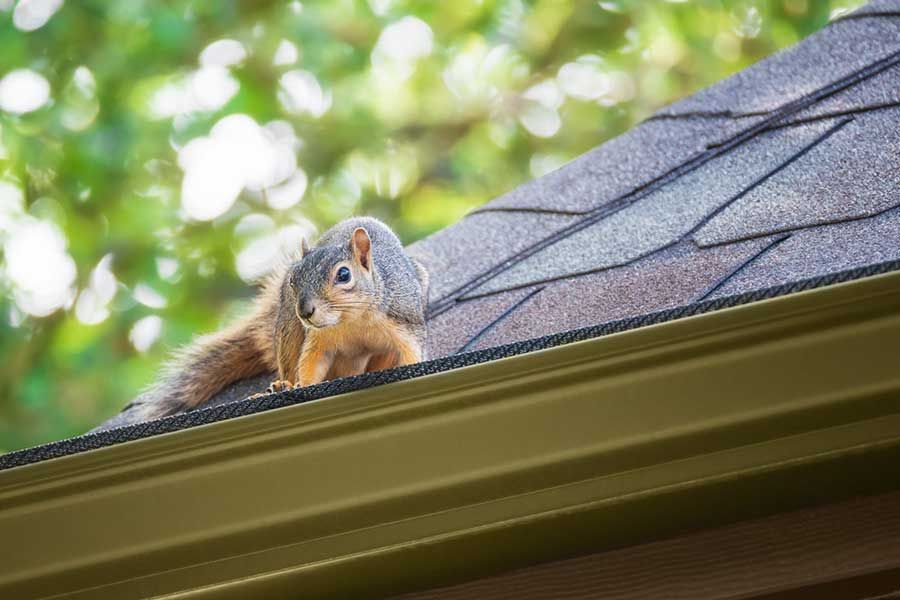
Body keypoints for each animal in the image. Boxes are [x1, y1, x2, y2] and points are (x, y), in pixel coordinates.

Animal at [132, 217, 429, 420]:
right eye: (293, 280)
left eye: (344, 274)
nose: (305, 311)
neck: (352, 320)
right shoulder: (319, 339)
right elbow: (311, 363)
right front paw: (300, 385)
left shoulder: (404, 323)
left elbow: (412, 352)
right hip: (287, 330)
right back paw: (282, 384)